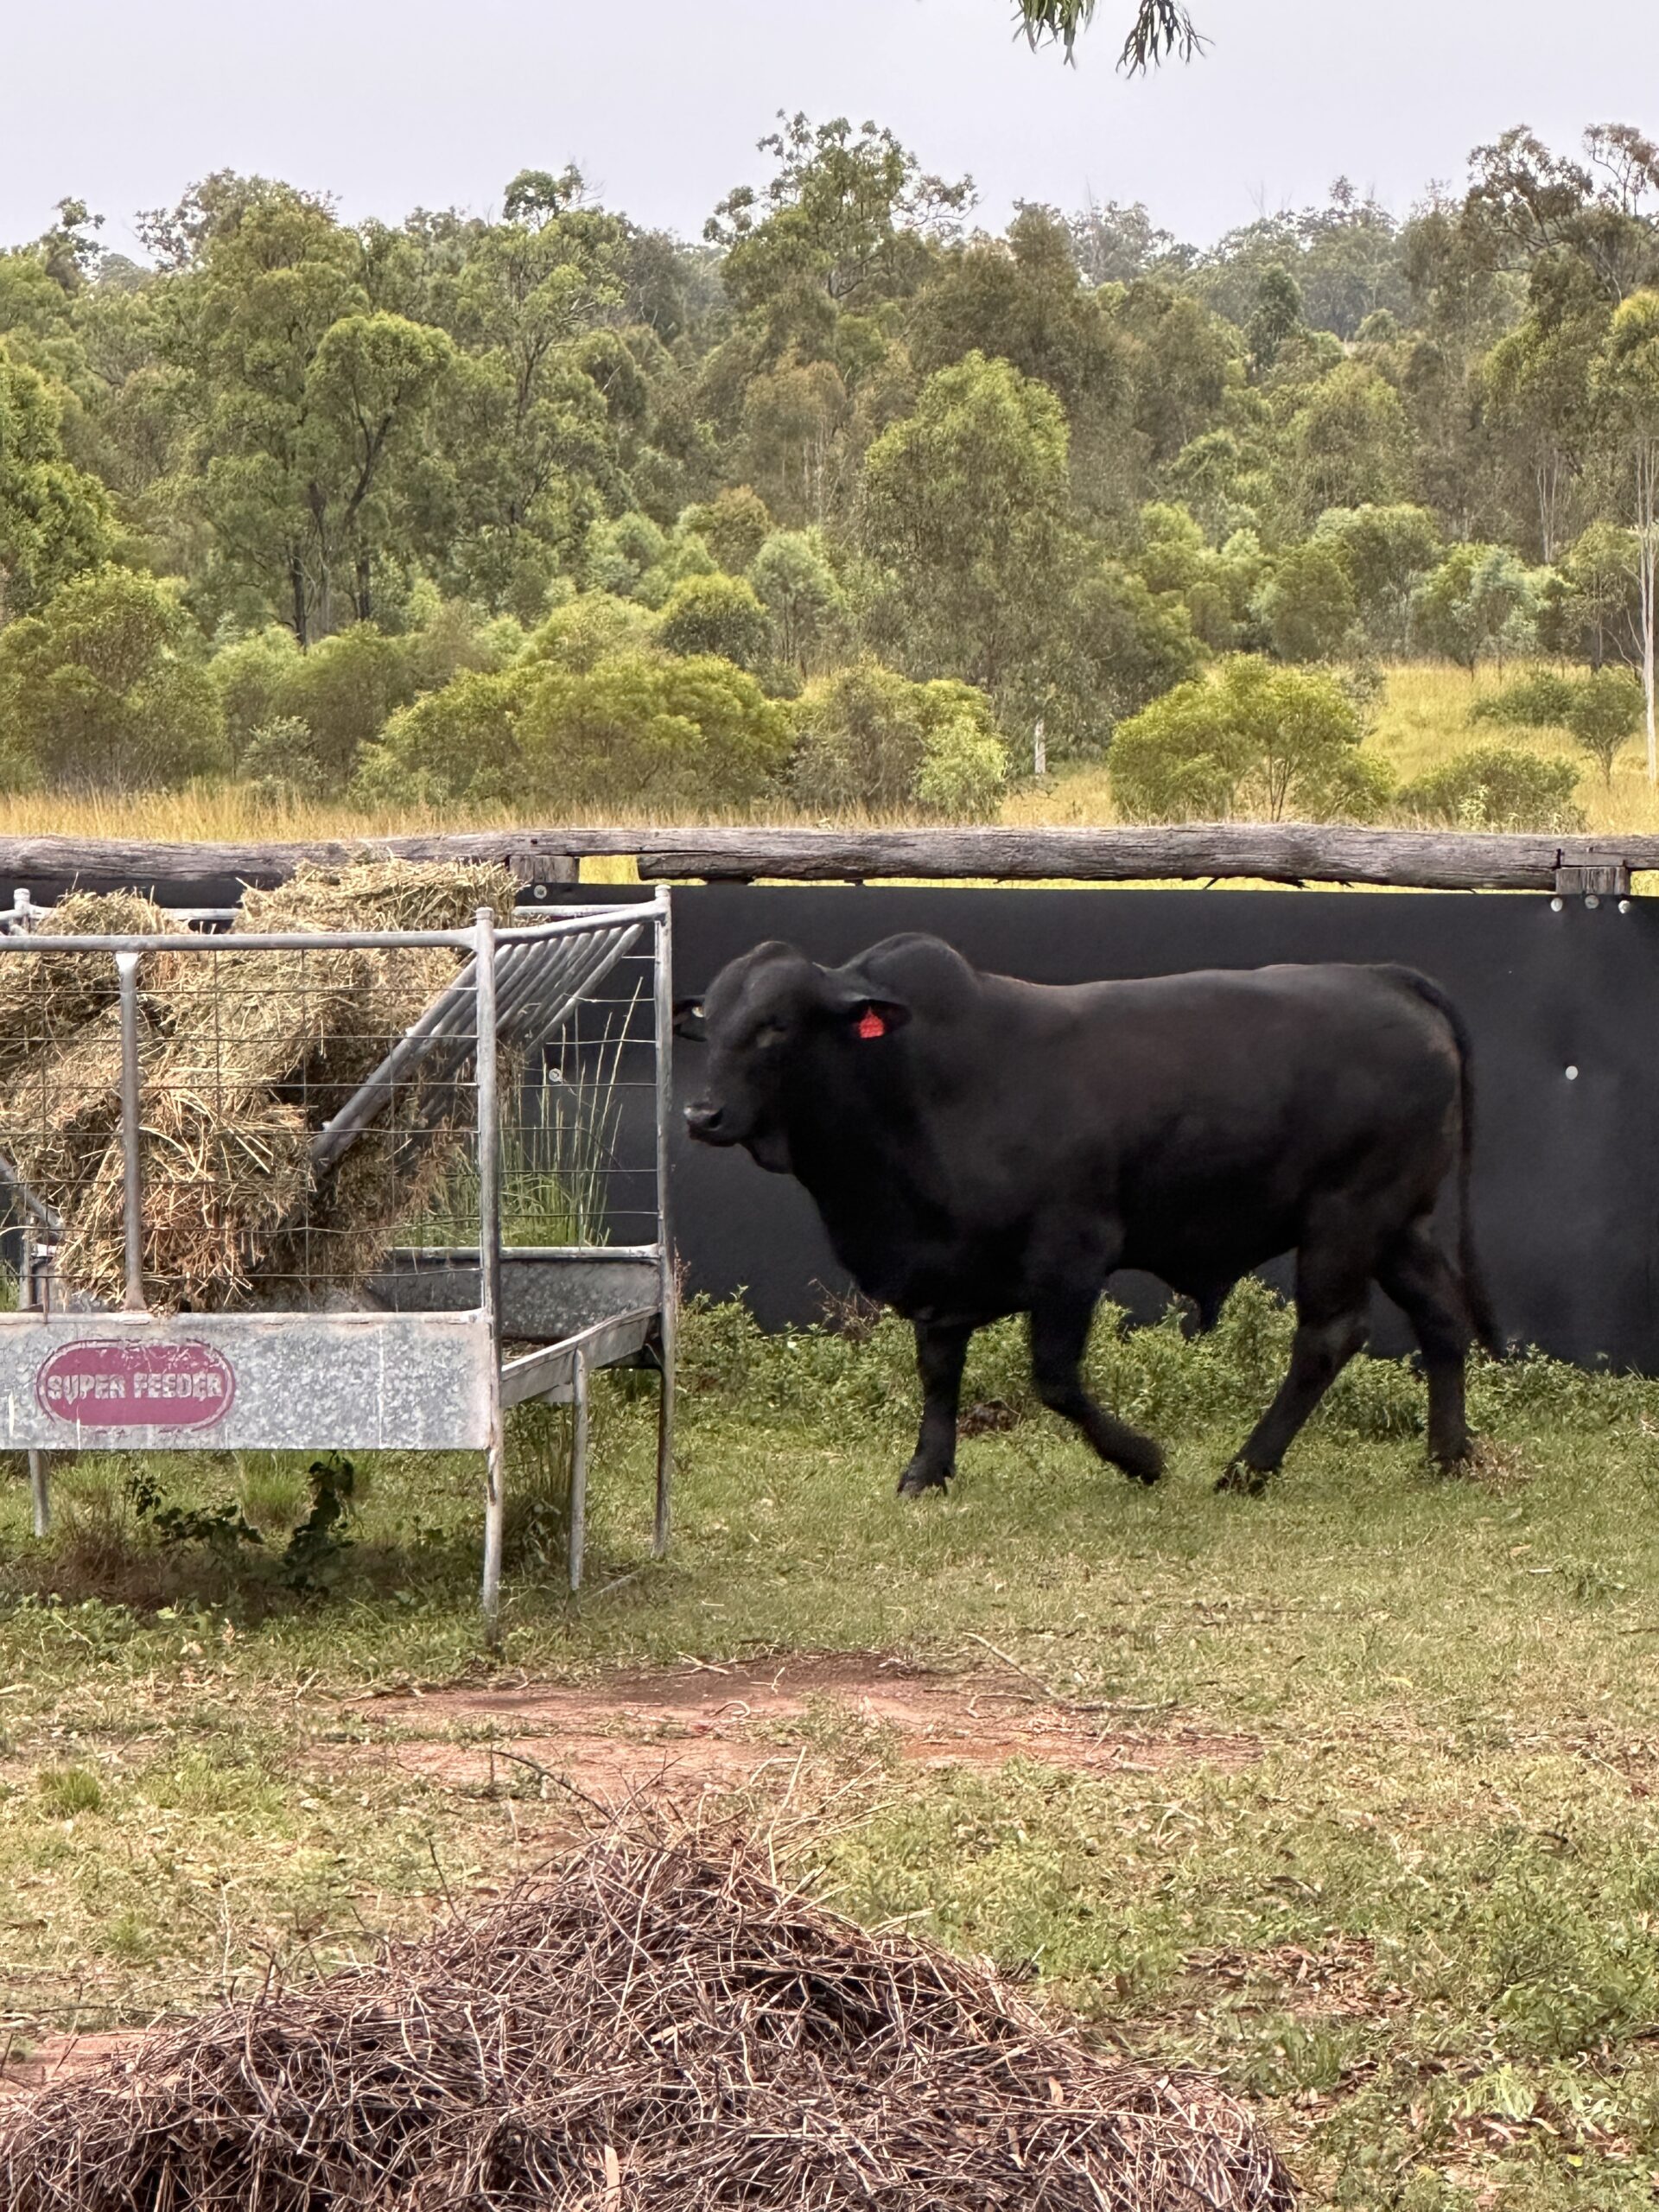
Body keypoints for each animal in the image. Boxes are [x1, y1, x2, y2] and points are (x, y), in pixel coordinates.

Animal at [677, 932, 1501, 1497]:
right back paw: (1447, 1454)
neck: (922, 1083)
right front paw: (928, 1469)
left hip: (1345, 1219)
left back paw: (1248, 1466)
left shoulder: (1070, 1255)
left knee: (1328, 1337)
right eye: (709, 1023)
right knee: (1441, 1315)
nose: (701, 1113)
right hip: (1397, 1225)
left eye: (777, 1024)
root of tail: (1385, 979)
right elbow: (939, 1370)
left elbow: (1055, 1379)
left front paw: (1142, 1457)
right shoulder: (942, 1274)